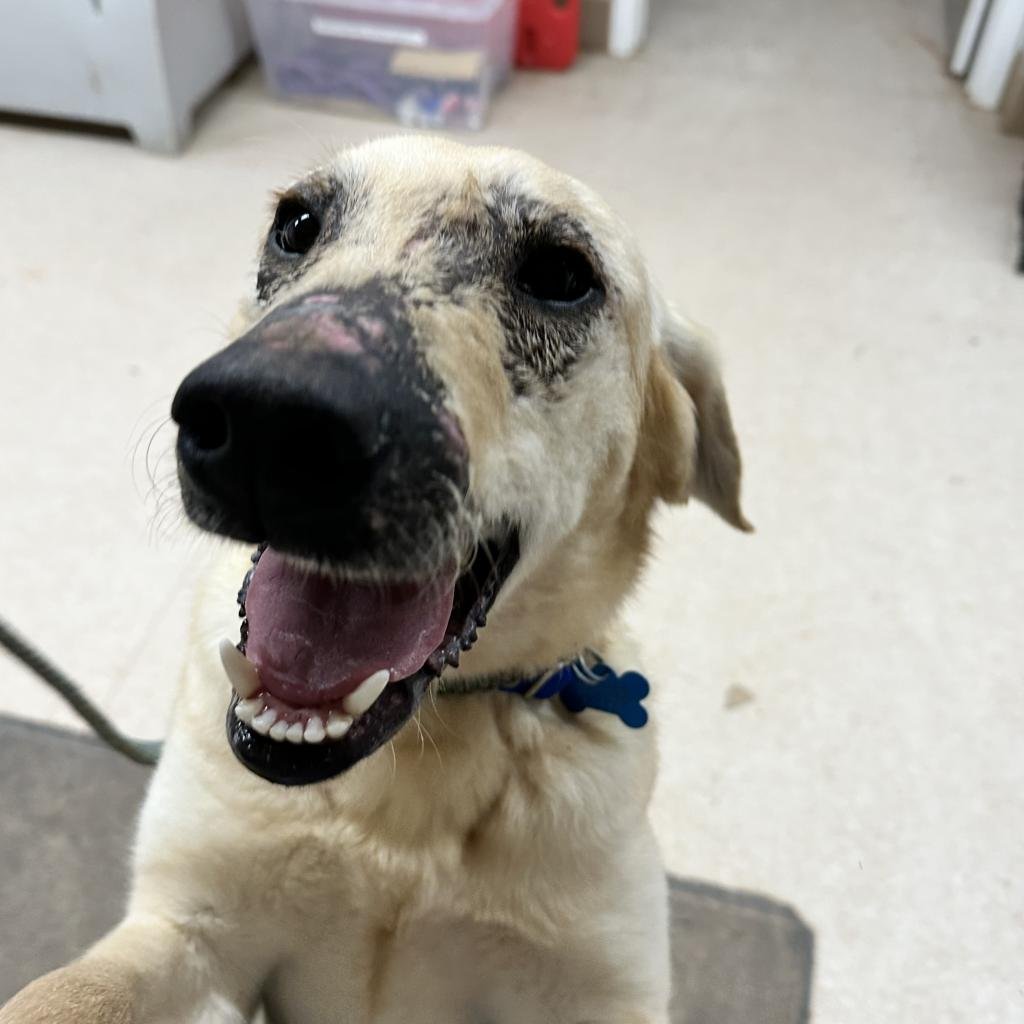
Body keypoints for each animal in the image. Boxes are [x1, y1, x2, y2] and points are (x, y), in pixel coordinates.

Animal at [2, 138, 753, 1024]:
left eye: (562, 275)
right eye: (297, 224)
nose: (272, 421)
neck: (408, 779)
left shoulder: (599, 993)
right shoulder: (188, 925)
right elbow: (64, 994)